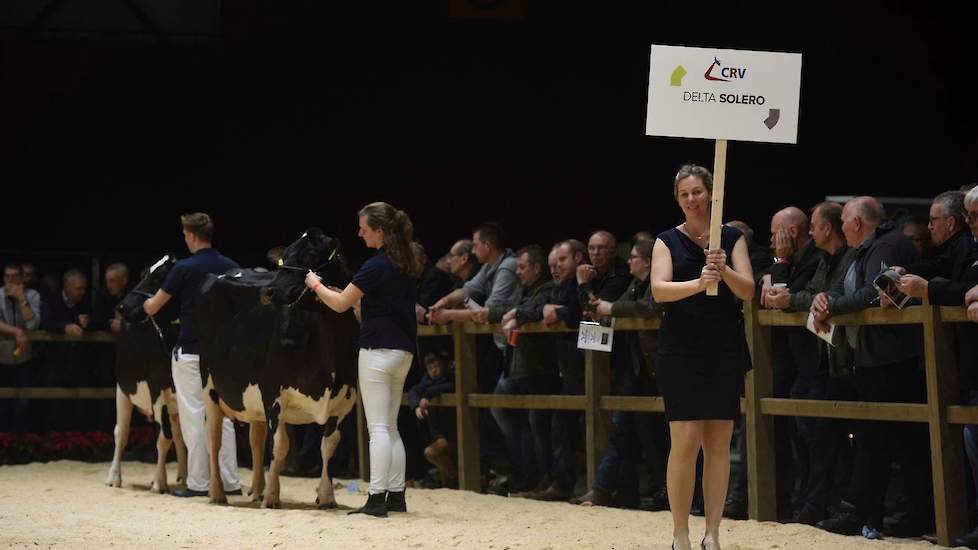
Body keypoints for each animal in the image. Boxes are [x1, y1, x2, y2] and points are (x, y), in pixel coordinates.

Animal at [108, 256, 189, 494]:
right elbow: (156, 437)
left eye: (160, 277)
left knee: (178, 435)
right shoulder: (146, 388)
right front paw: (157, 482)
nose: (123, 306)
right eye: (143, 273)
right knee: (123, 432)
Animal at [199, 229, 362, 508]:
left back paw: (256, 490)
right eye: (283, 257)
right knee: (214, 440)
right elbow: (280, 446)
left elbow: (328, 446)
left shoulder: (344, 402)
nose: (269, 291)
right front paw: (273, 497)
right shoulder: (272, 392)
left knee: (255, 438)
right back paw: (218, 493)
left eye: (310, 255)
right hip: (209, 388)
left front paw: (326, 497)